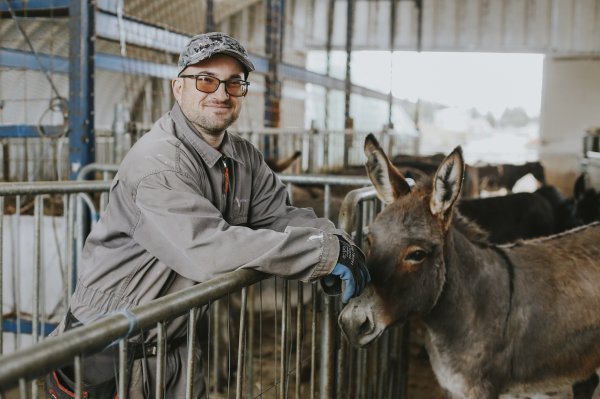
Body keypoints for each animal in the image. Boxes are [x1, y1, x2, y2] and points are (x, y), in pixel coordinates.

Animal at [338, 134, 600, 399]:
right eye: (369, 241)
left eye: (417, 254)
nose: (352, 322)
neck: (469, 309)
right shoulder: (451, 388)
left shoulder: (482, 390)